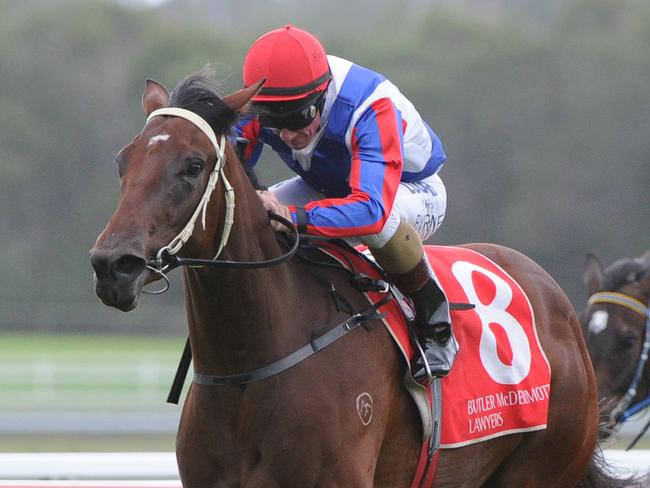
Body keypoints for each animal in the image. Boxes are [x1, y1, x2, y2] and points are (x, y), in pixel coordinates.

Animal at [90, 70, 604, 486]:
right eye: (122, 161)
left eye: (193, 166)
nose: (113, 265)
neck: (247, 369)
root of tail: (555, 299)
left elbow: (374, 207)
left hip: (539, 466)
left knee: (386, 221)